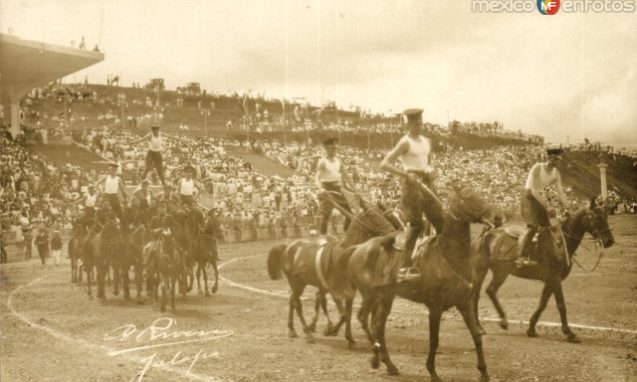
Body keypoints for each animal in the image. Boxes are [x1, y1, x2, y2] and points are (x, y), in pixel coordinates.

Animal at [264, 201, 398, 348]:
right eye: (373, 215)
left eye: (382, 214)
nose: (392, 231)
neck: (345, 254)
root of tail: (287, 248)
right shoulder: (335, 290)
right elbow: (343, 314)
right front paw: (331, 330)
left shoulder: (350, 291)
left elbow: (348, 313)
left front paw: (349, 338)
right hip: (296, 283)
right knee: (298, 305)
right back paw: (308, 333)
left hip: (299, 285)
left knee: (293, 301)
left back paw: (292, 329)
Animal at [346, 184, 494, 380]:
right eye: (468, 197)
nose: (497, 216)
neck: (450, 257)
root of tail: (359, 248)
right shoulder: (435, 307)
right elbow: (434, 340)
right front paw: (432, 372)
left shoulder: (465, 303)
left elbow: (476, 334)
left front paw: (484, 372)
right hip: (370, 295)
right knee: (365, 319)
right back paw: (377, 358)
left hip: (385, 298)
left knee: (377, 324)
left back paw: (388, 364)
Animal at [472, 200, 612, 344]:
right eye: (597, 217)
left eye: (606, 216)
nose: (609, 241)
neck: (558, 244)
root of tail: (487, 233)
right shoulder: (554, 279)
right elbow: (561, 305)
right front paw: (570, 333)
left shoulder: (550, 281)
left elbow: (542, 304)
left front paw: (531, 328)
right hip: (482, 270)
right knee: (476, 295)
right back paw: (481, 326)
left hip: (500, 272)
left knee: (490, 291)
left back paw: (501, 321)